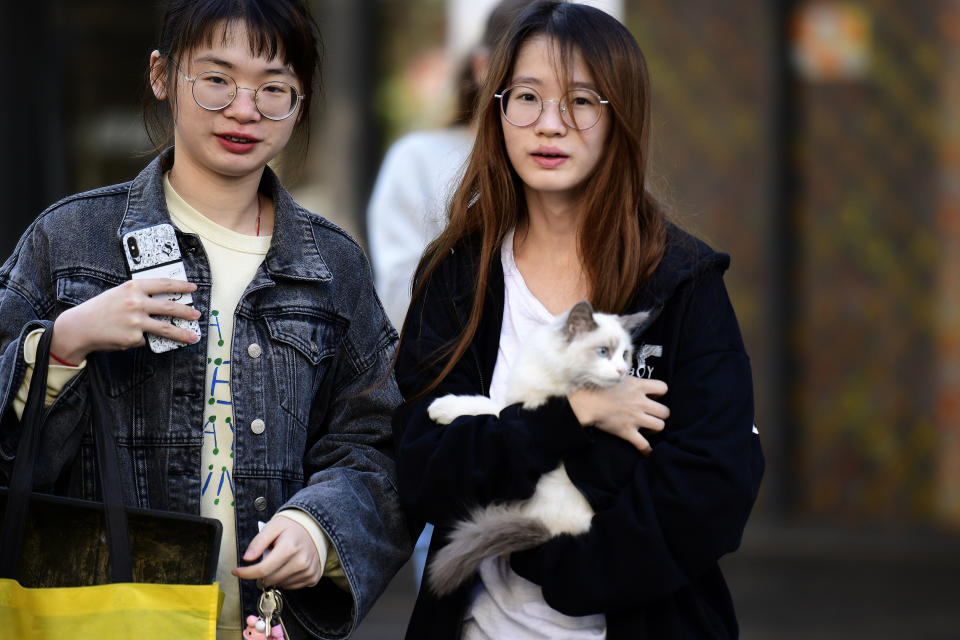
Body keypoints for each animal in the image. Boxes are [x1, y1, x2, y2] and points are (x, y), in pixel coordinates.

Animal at [424, 300, 648, 596]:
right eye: (603, 352)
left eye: (624, 355)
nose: (622, 372)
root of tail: (550, 532)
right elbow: (481, 403)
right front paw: (439, 408)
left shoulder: (518, 409)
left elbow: (484, 405)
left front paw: (441, 408)